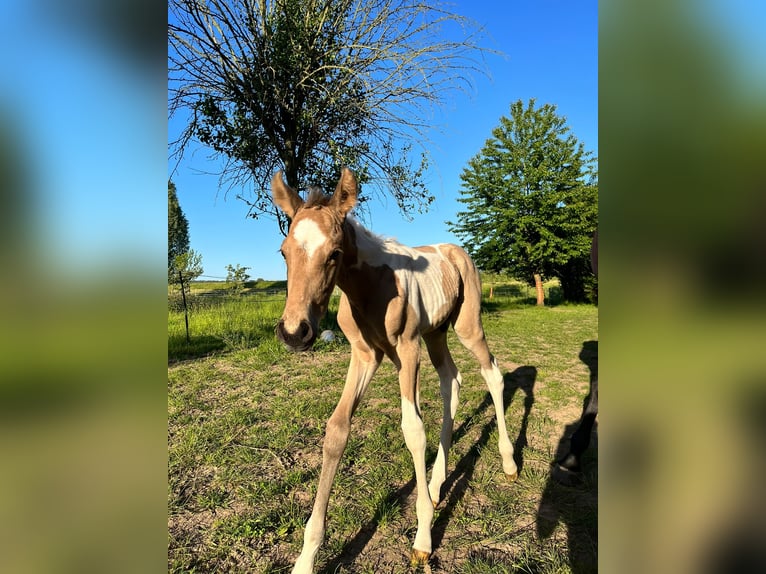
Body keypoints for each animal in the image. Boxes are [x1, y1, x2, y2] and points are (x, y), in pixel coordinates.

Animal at [272, 169, 520, 572]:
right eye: (284, 252)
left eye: (334, 254)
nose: (295, 332)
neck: (369, 288)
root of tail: (455, 250)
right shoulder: (364, 356)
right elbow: (337, 430)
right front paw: (306, 558)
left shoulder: (407, 350)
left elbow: (413, 430)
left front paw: (422, 538)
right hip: (436, 333)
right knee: (451, 381)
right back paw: (435, 486)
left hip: (466, 326)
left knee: (493, 375)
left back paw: (509, 462)